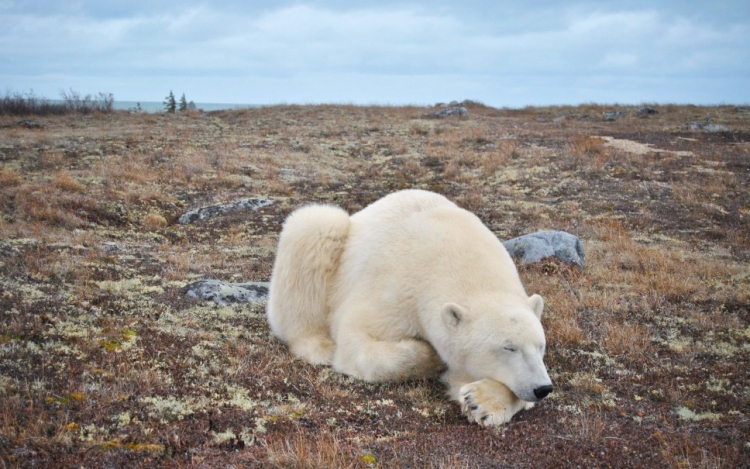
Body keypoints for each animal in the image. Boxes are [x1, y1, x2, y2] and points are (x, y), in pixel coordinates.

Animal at [268, 189, 556, 424]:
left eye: (540, 346)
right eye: (508, 347)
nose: (542, 388)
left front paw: (480, 401)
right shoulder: (395, 290)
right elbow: (357, 340)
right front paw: (430, 357)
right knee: (315, 228)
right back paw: (318, 346)